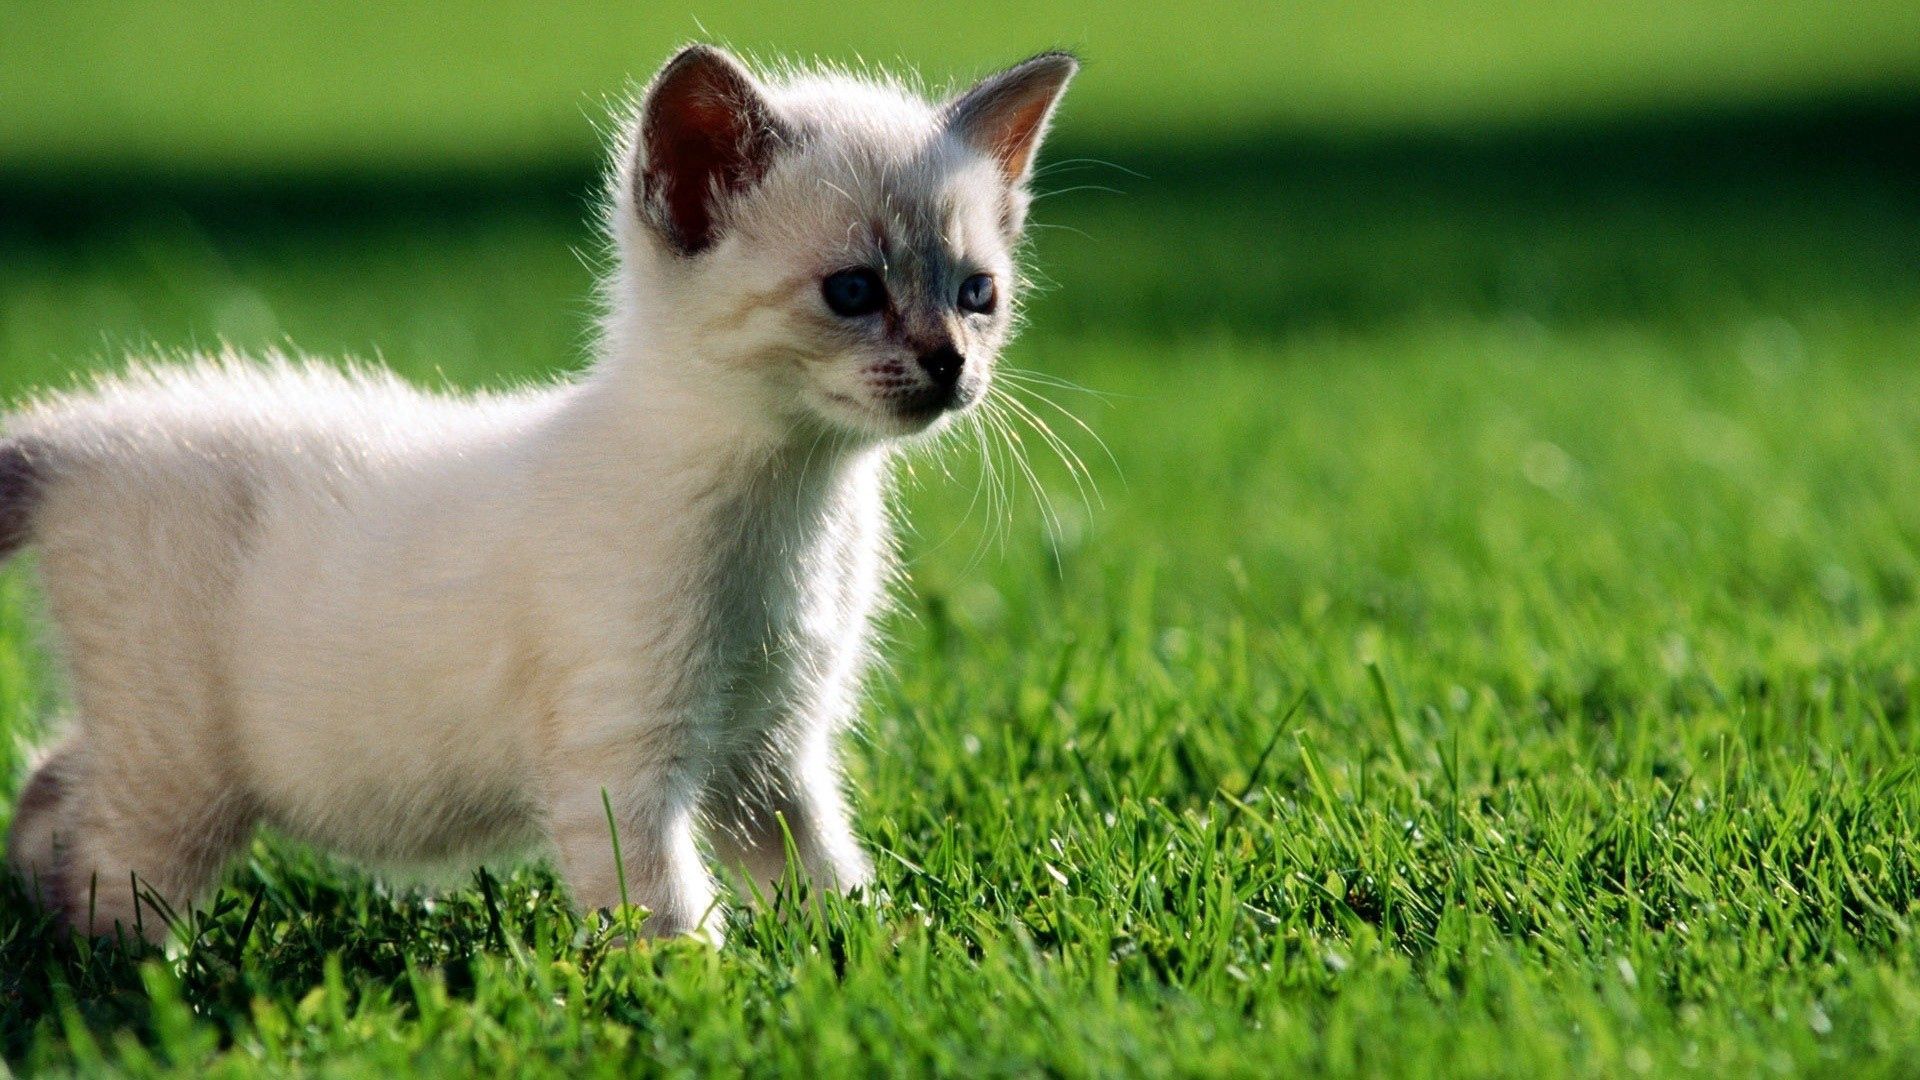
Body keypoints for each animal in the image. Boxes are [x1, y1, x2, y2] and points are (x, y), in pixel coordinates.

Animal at [0, 46, 1082, 937]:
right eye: (853, 291)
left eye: (978, 294)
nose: (949, 364)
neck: (800, 503)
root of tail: (84, 432)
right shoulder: (622, 760)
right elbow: (666, 917)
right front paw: (697, 1000)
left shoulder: (770, 752)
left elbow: (827, 879)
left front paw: (884, 960)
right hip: (180, 771)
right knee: (104, 878)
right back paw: (111, 980)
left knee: (50, 781)